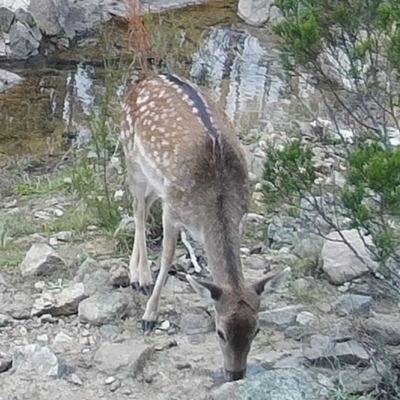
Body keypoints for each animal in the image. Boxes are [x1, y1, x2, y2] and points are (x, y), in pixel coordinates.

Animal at [120, 73, 290, 382]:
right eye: (220, 332)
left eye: (256, 330)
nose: (235, 374)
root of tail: (144, 81)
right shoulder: (173, 209)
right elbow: (167, 258)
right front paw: (149, 316)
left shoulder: (240, 216)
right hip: (132, 157)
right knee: (138, 209)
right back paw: (141, 277)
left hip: (155, 180)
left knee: (143, 205)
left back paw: (138, 275)